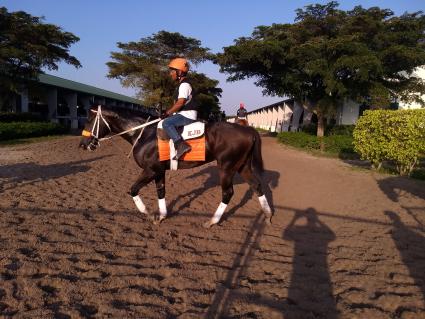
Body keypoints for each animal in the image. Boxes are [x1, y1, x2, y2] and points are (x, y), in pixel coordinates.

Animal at [79, 105, 272, 228]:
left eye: (89, 120)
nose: (83, 144)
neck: (144, 133)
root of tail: (248, 130)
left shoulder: (150, 170)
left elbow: (133, 190)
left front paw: (149, 213)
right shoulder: (158, 171)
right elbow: (161, 191)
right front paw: (162, 215)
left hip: (226, 167)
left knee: (227, 193)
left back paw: (212, 221)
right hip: (242, 166)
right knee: (256, 185)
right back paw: (268, 215)